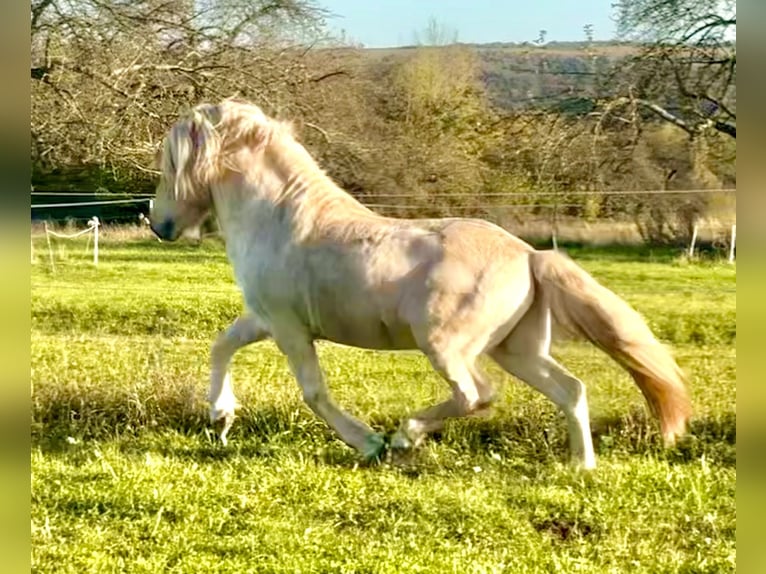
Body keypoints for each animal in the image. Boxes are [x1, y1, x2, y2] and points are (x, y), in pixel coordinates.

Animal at [147, 99, 692, 470]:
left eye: (172, 162)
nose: (160, 224)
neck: (282, 219)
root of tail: (530, 256)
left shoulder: (288, 327)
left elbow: (314, 392)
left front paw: (369, 443)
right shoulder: (264, 318)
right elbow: (222, 345)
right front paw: (220, 416)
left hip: (447, 346)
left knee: (477, 395)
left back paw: (404, 437)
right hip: (517, 349)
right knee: (570, 390)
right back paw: (582, 465)